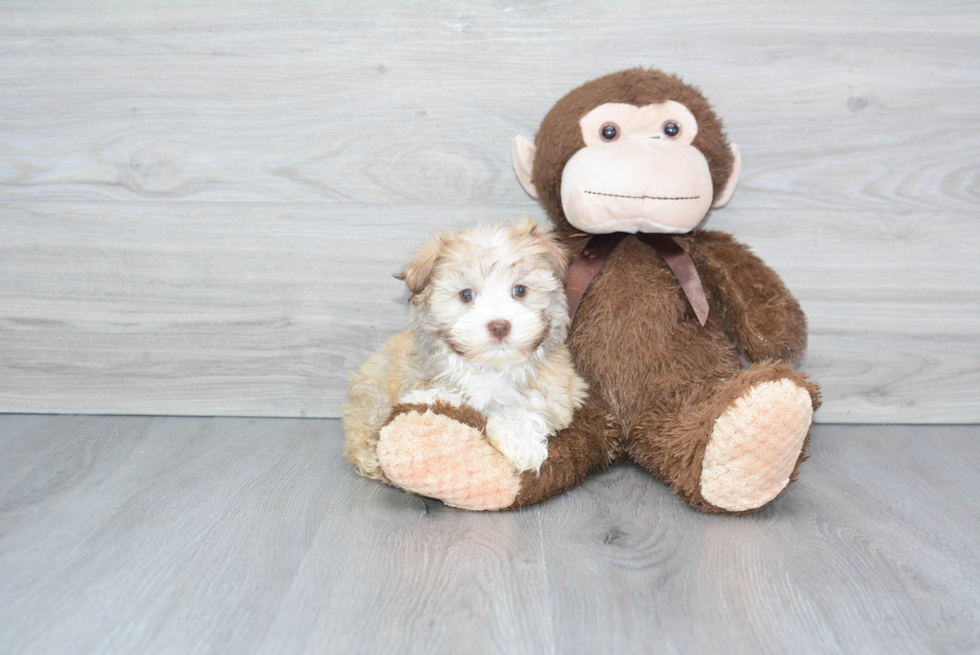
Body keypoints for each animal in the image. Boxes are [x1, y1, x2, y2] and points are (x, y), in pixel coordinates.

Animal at [344, 218, 584, 480]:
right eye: (466, 295)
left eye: (520, 290)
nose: (499, 326)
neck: (492, 366)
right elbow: (435, 393)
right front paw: (436, 398)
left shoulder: (560, 393)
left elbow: (527, 411)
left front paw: (520, 443)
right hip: (371, 391)